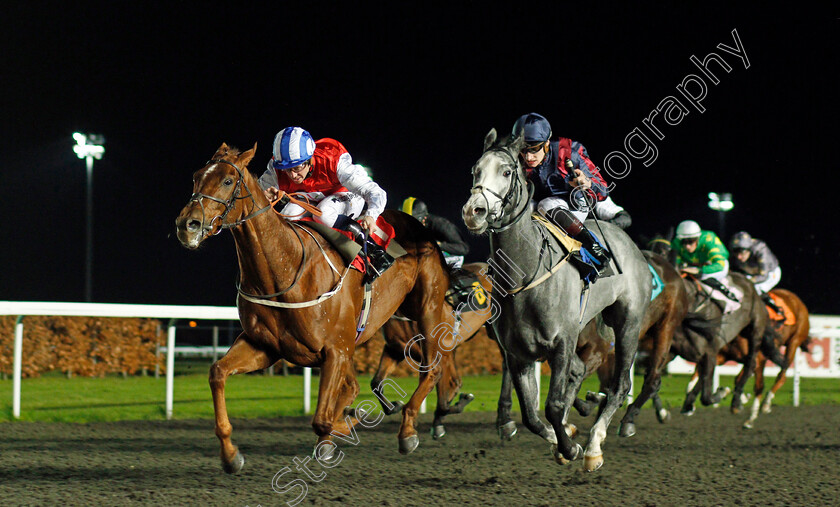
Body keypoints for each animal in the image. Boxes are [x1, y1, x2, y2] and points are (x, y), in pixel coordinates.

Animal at [173, 145, 456, 474]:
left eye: (228, 180)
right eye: (196, 176)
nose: (186, 225)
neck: (286, 266)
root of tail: (419, 228)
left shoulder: (336, 350)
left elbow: (321, 419)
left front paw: (330, 441)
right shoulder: (265, 346)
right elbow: (217, 372)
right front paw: (231, 454)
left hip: (427, 308)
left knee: (432, 369)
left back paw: (408, 429)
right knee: (357, 386)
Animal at [370, 260, 496, 438]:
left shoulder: (435, 354)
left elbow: (441, 392)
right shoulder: (395, 349)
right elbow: (376, 382)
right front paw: (394, 406)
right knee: (456, 381)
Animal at [462, 130, 652, 472]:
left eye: (506, 172)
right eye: (475, 170)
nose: (474, 211)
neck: (525, 275)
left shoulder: (562, 341)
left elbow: (552, 405)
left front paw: (571, 447)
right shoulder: (518, 353)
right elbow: (531, 416)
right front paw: (559, 438)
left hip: (629, 323)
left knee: (619, 387)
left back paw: (594, 445)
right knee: (579, 371)